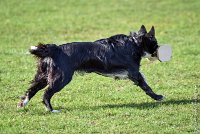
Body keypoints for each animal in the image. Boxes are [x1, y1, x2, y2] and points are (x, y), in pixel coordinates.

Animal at [17, 25, 164, 112]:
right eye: (155, 43)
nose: (159, 50)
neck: (134, 43)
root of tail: (55, 49)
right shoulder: (134, 73)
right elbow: (146, 86)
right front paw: (158, 97)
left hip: (43, 77)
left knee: (31, 90)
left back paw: (22, 104)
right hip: (61, 78)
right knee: (46, 94)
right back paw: (51, 110)